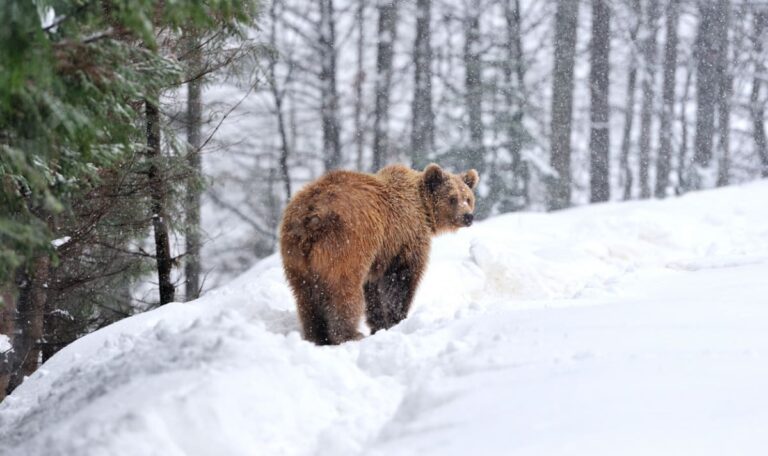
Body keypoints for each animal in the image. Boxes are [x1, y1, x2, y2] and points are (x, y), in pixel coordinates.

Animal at [279, 163, 479, 345]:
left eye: (468, 198)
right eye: (452, 198)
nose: (468, 216)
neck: (423, 209)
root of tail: (311, 214)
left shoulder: (380, 254)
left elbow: (373, 289)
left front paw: (379, 324)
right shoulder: (404, 238)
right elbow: (401, 280)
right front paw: (397, 319)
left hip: (295, 254)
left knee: (305, 295)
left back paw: (317, 335)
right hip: (345, 244)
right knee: (344, 290)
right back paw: (349, 335)